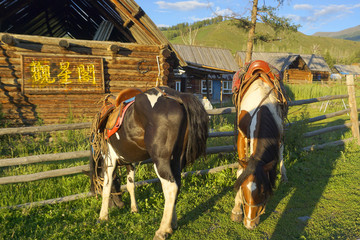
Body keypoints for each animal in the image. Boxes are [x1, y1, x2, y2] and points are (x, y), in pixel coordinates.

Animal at [89, 86, 208, 240]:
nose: (120, 205)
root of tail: (177, 97)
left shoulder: (109, 160)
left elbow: (106, 188)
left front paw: (103, 217)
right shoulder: (129, 162)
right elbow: (131, 185)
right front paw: (134, 209)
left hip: (160, 161)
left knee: (170, 187)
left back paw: (162, 230)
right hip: (176, 160)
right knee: (177, 184)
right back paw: (172, 223)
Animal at [231, 59, 290, 229]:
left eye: (263, 192)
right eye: (243, 189)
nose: (249, 225)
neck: (261, 106)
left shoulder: (278, 134)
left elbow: (279, 155)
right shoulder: (242, 135)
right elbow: (240, 170)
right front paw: (237, 210)